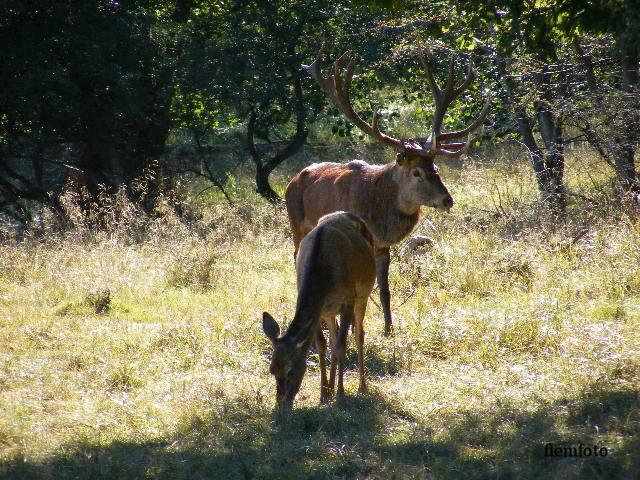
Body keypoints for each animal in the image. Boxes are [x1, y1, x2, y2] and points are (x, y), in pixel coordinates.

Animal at [262, 212, 378, 410]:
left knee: (359, 335)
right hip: (330, 312)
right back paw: (330, 387)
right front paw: (323, 394)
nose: (281, 406)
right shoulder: (318, 311)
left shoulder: (347, 300)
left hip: (362, 296)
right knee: (333, 337)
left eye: (291, 372)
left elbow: (341, 347)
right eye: (271, 370)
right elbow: (321, 344)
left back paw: (362, 387)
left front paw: (340, 394)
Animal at [288, 47, 492, 336]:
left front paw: (389, 328)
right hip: (296, 224)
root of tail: (292, 180)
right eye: (417, 172)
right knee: (297, 259)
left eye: (436, 167)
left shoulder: (382, 246)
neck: (379, 213)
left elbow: (385, 290)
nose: (447, 200)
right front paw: (356, 330)